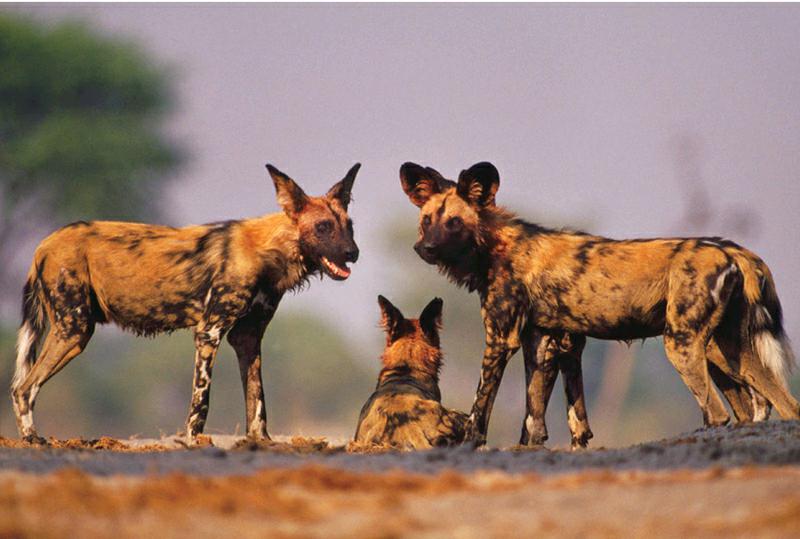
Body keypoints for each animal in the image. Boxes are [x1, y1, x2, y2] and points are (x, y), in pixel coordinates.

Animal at [10, 162, 360, 446]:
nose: (353, 253)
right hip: (75, 330)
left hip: (72, 333)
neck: (270, 252)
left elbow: (257, 400)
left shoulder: (247, 338)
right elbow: (200, 401)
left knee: (21, 385)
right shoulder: (209, 332)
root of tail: (43, 244)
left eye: (349, 226)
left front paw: (262, 442)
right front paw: (194, 441)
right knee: (23, 388)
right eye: (323, 227)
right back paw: (32, 439)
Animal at [404, 160, 796, 448]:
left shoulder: (502, 340)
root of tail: (733, 252)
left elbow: (480, 407)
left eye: (454, 222)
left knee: (717, 413)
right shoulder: (547, 342)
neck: (497, 248)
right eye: (427, 220)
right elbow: (538, 420)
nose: (424, 248)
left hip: (682, 346)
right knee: (785, 405)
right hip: (726, 351)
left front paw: (471, 445)